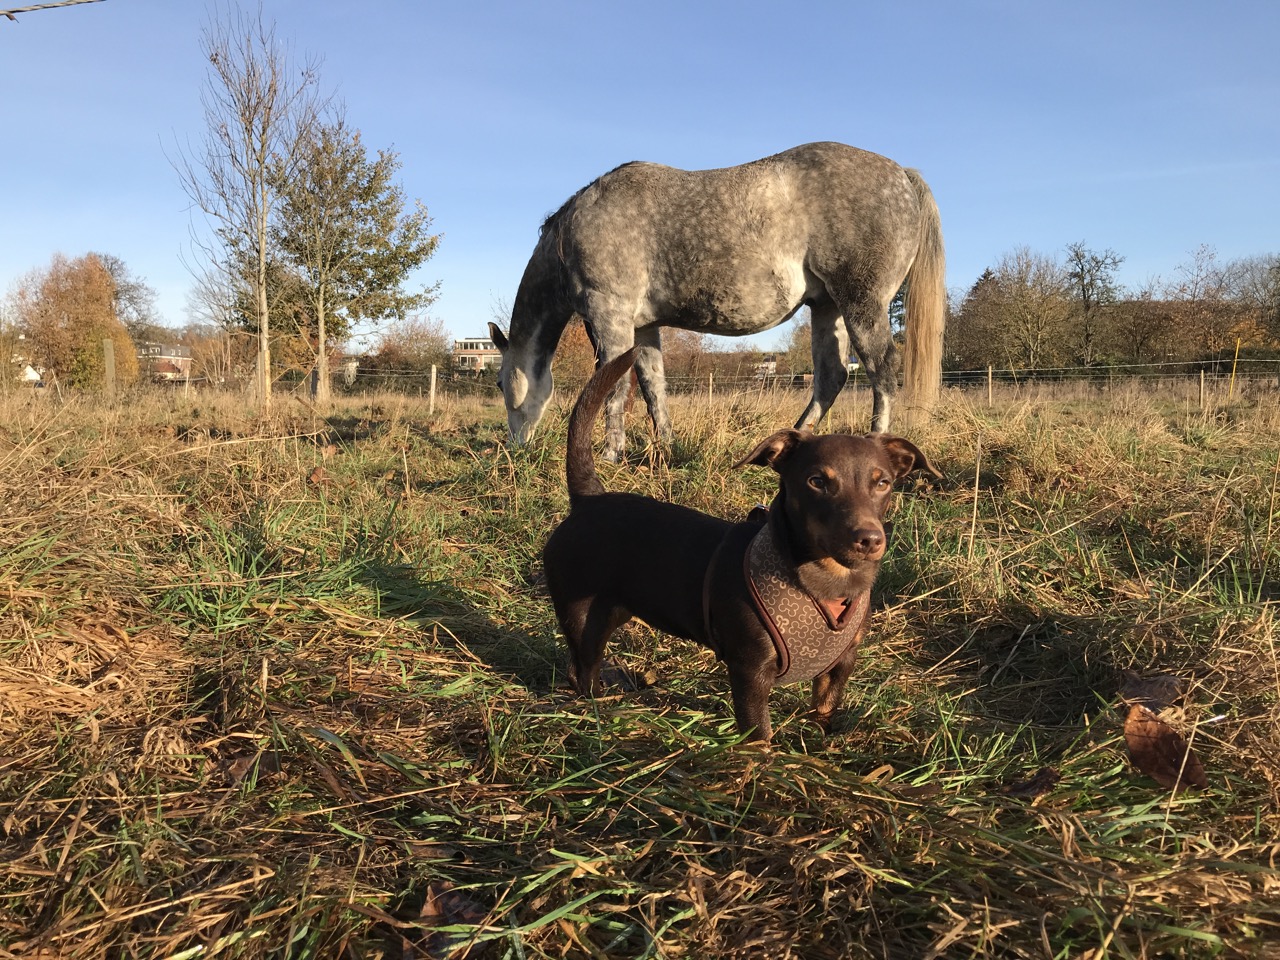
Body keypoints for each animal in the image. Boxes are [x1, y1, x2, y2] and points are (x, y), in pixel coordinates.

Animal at [486, 138, 942, 463]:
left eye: (499, 382)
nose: (516, 448)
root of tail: (902, 175)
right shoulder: (644, 327)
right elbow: (653, 387)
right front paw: (665, 449)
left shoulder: (609, 317)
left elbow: (612, 387)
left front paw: (611, 454)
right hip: (827, 308)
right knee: (832, 377)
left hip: (861, 303)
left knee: (882, 370)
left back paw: (877, 445)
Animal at [540, 350, 942, 742]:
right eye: (816, 481)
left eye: (883, 483)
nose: (869, 539)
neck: (825, 578)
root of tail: (588, 499)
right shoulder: (750, 670)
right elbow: (758, 731)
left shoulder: (842, 663)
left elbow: (825, 707)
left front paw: (821, 743)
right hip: (582, 616)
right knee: (582, 670)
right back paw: (603, 710)